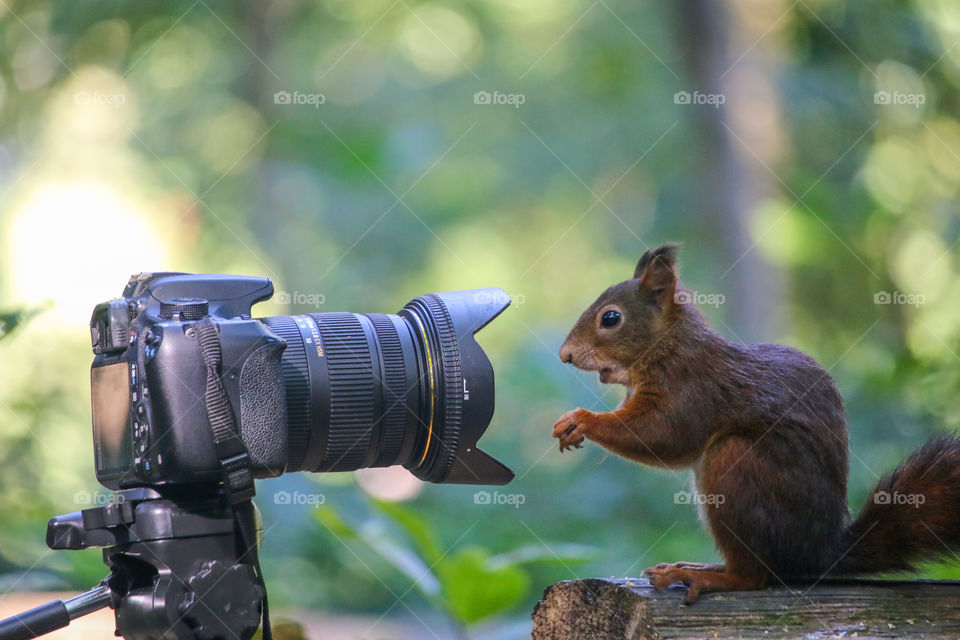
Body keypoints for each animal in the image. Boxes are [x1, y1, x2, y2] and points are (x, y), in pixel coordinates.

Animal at [552, 242, 960, 604]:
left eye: (610, 318)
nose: (564, 355)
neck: (668, 346)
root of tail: (820, 554)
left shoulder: (691, 388)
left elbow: (663, 436)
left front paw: (581, 420)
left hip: (738, 467)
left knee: (755, 575)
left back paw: (703, 577)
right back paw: (700, 567)